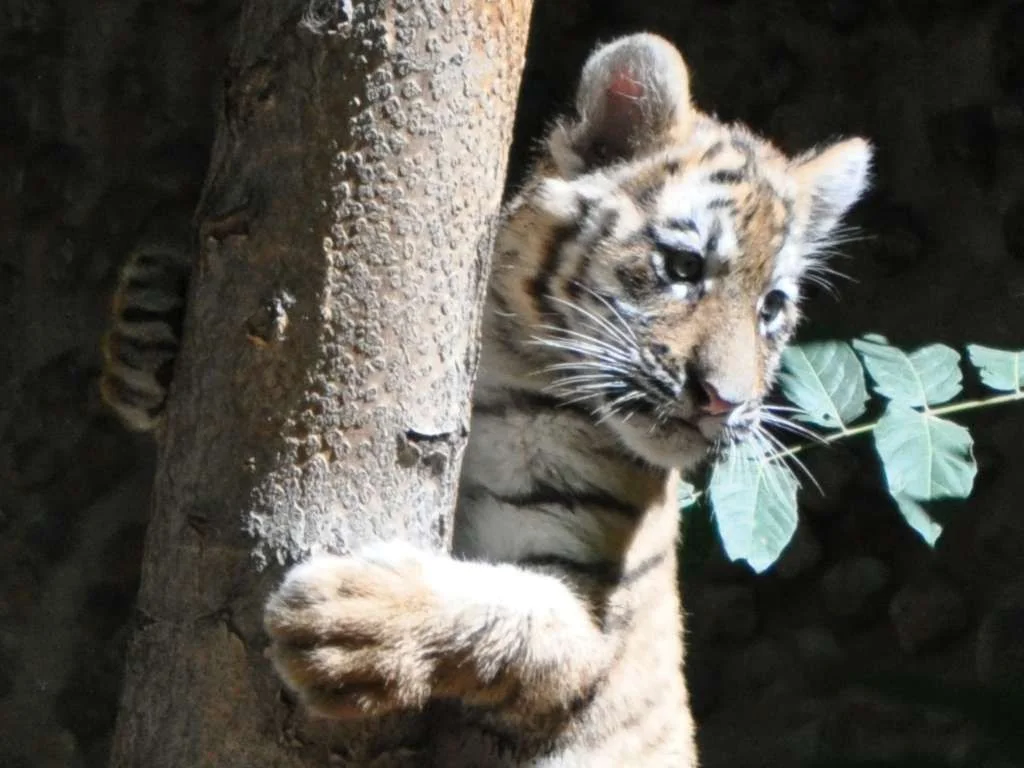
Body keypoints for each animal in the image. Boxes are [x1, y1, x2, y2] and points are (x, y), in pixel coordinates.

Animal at [101, 33, 871, 768]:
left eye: (772, 308)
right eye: (684, 267)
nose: (723, 402)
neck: (509, 366)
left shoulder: (587, 613)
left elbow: (507, 619)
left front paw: (350, 623)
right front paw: (149, 316)